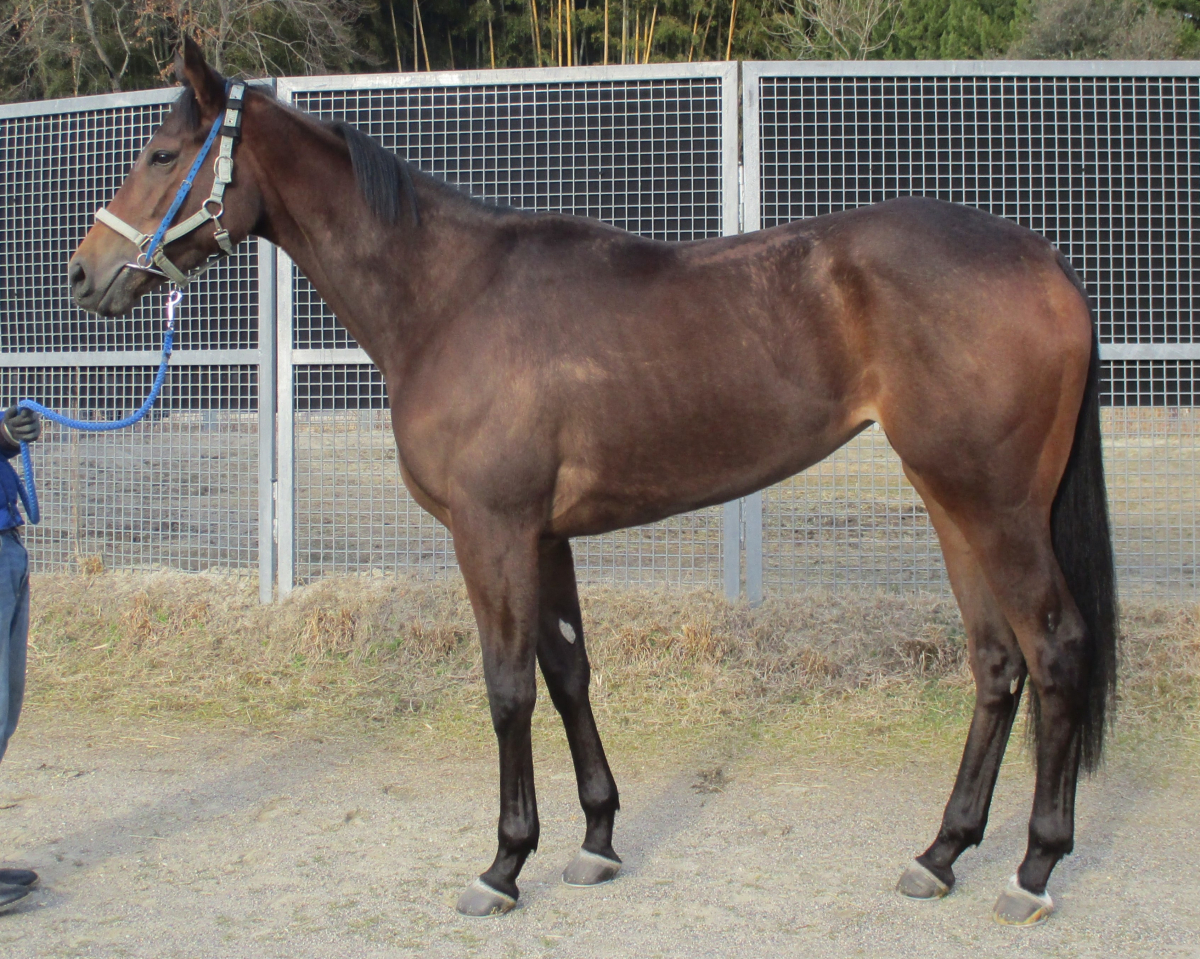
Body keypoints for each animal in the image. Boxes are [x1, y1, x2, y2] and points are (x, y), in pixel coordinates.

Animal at [67, 39, 1116, 926]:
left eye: (162, 153)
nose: (83, 275)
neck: (450, 297)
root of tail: (1044, 259)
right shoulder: (545, 535)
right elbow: (568, 671)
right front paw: (598, 841)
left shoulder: (491, 530)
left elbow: (506, 686)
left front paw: (502, 864)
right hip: (951, 499)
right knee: (997, 661)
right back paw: (941, 852)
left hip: (996, 504)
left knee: (1057, 649)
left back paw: (1031, 869)